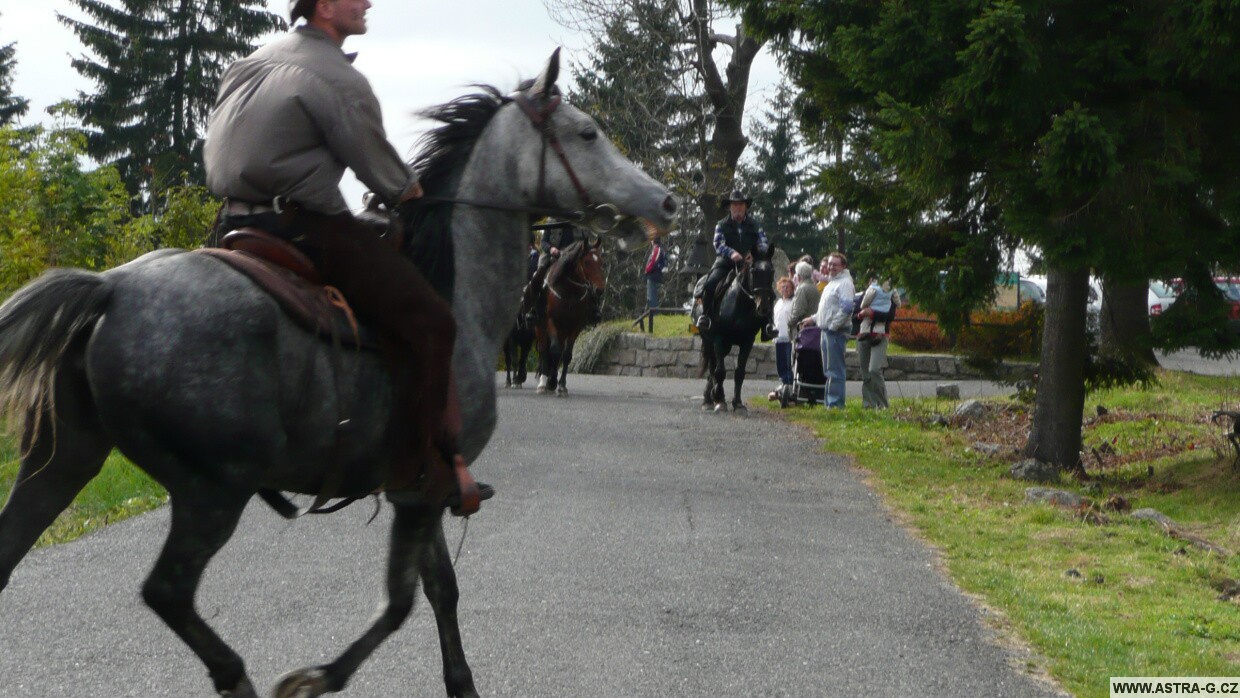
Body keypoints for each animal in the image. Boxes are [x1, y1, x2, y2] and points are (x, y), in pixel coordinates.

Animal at [538, 238, 605, 396]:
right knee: (543, 350)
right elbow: (554, 350)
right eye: (586, 261)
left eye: (601, 262)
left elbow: (567, 355)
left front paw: (561, 385)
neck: (569, 292)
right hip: (540, 327)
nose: (599, 290)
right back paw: (543, 383)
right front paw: (551, 381)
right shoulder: (550, 321)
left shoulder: (576, 326)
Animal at [699, 250, 773, 411]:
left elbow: (739, 372)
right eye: (753, 271)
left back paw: (711, 397)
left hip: (724, 346)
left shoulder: (747, 342)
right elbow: (720, 371)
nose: (763, 307)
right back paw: (710, 399)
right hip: (708, 341)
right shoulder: (719, 338)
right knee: (713, 368)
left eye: (772, 271)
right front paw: (720, 400)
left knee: (713, 368)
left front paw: (737, 403)